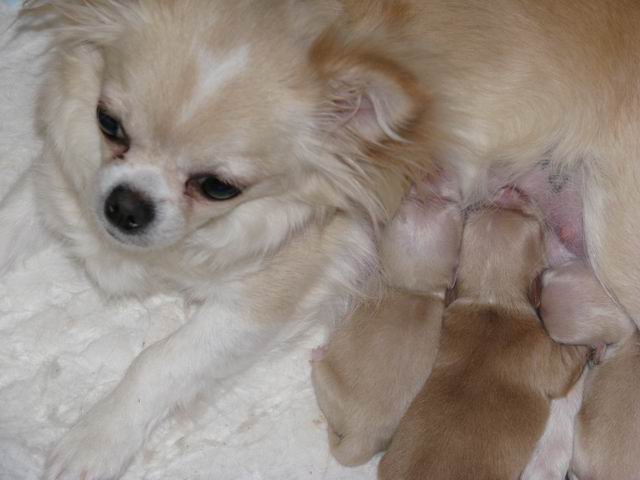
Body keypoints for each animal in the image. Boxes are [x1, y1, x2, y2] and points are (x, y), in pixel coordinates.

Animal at [311, 179, 461, 466]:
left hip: (325, 380)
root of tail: (362, 435)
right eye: (443, 204)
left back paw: (318, 353)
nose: (425, 183)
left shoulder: (366, 289)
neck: (414, 288)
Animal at [378, 195, 588, 480]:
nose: (510, 190)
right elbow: (566, 367)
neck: (491, 295)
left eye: (490, 208)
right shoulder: (544, 354)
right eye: (533, 221)